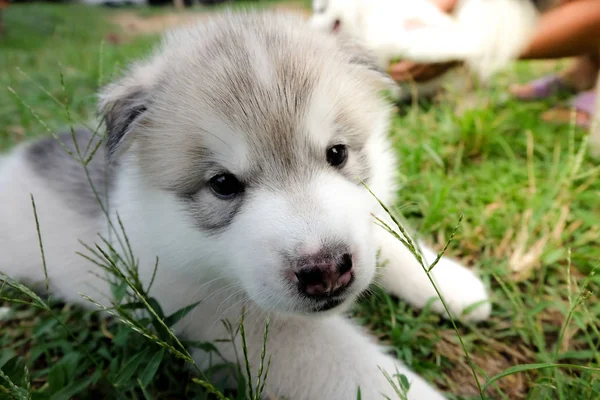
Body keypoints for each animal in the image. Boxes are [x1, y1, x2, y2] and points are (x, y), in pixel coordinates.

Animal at [0, 10, 490, 398]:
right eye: (222, 184)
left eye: (337, 154)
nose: (328, 270)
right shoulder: (248, 329)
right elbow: (358, 368)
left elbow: (387, 240)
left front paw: (451, 286)